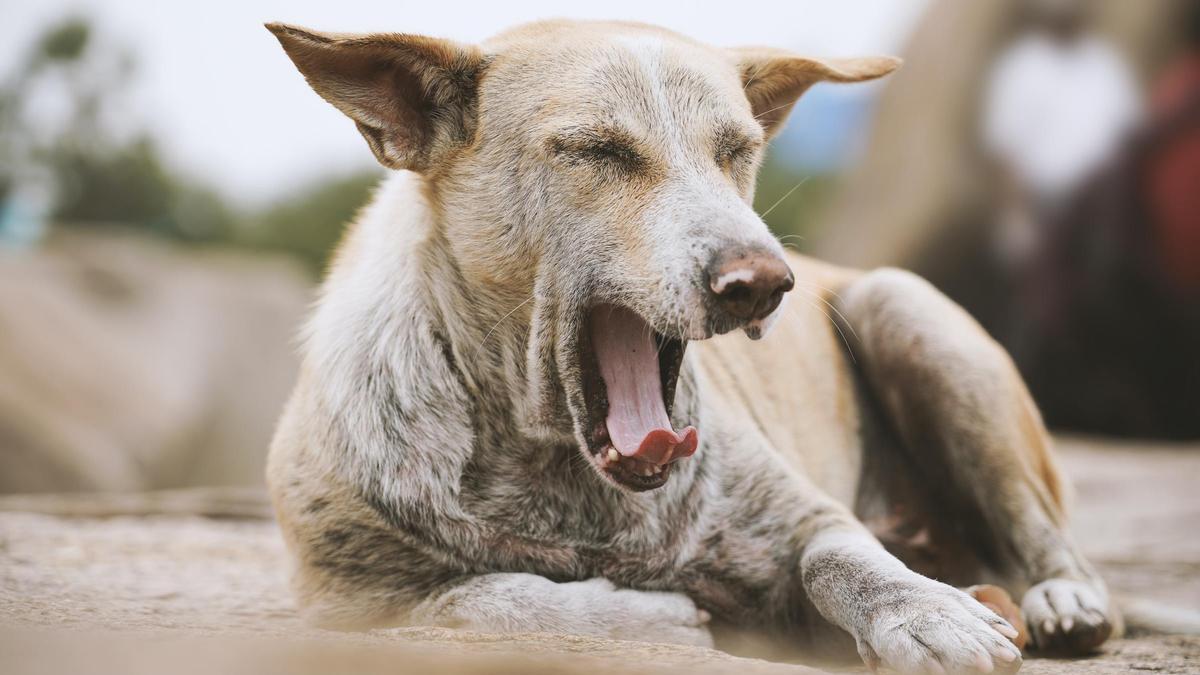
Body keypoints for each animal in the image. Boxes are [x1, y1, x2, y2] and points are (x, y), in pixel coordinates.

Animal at [262, 18, 1113, 667]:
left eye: (736, 150)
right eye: (597, 151)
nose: (763, 281)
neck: (558, 469)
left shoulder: (809, 521)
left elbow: (845, 557)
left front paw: (927, 614)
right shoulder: (344, 601)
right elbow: (480, 597)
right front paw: (641, 615)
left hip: (904, 308)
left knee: (1038, 526)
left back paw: (1063, 597)